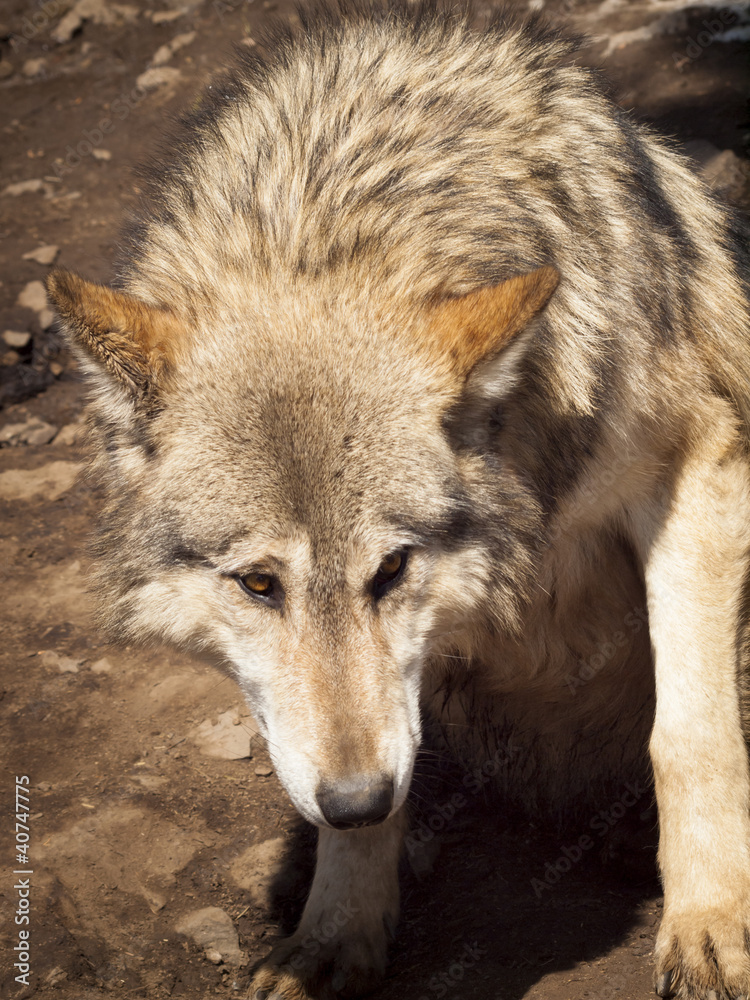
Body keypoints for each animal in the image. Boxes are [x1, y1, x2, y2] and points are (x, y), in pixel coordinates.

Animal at [46, 2, 750, 997]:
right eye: (258, 584)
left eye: (393, 568)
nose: (353, 799)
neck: (330, 224)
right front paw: (337, 929)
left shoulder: (700, 462)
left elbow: (689, 736)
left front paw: (711, 925)